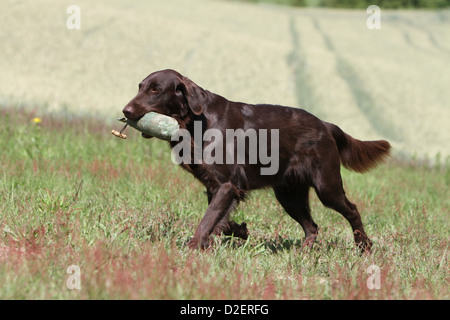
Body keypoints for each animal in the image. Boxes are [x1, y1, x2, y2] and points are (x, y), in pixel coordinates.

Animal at [123, 69, 390, 251]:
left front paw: (193, 247)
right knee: (311, 226)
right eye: (140, 86)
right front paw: (236, 231)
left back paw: (364, 246)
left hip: (327, 186)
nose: (126, 110)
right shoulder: (217, 187)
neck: (196, 122)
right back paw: (304, 254)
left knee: (352, 210)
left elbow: (207, 220)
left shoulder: (226, 185)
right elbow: (219, 219)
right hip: (288, 194)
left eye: (156, 89)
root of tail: (325, 124)